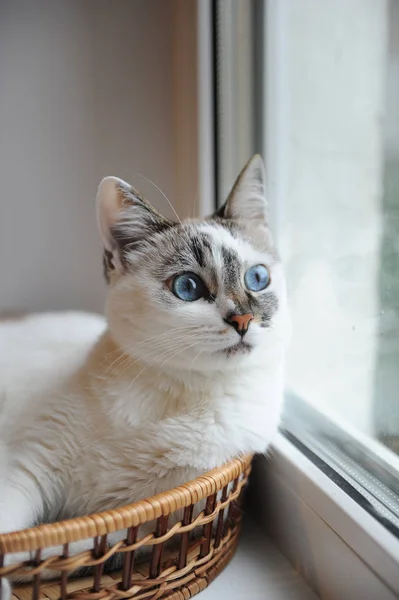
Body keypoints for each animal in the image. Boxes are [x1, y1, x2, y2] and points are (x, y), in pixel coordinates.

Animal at [0, 155, 290, 596]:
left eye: (257, 278)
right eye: (187, 287)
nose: (243, 319)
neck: (181, 392)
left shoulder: (163, 508)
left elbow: (77, 550)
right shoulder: (29, 463)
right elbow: (17, 532)